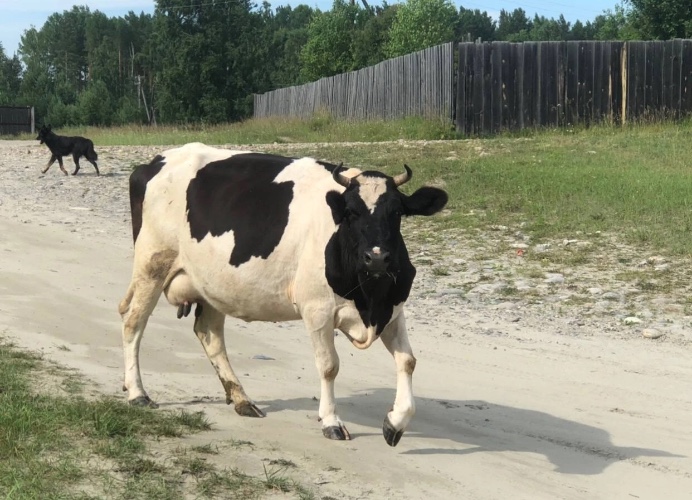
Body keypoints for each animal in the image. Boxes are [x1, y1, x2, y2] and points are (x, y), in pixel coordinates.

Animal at [118, 143, 448, 446]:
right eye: (351, 213)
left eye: (397, 212)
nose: (377, 258)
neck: (368, 297)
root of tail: (155, 161)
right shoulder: (317, 310)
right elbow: (329, 365)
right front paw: (331, 421)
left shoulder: (392, 309)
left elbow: (408, 361)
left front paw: (395, 423)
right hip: (152, 264)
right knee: (133, 322)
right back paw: (137, 392)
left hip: (214, 283)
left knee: (209, 333)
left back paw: (241, 399)